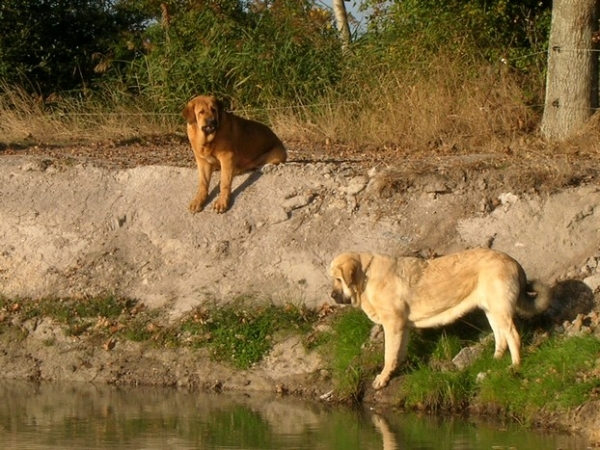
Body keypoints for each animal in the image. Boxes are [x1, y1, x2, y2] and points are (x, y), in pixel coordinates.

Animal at [330, 248, 552, 388]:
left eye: (338, 279)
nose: (332, 296)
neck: (365, 278)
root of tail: (514, 262)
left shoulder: (393, 325)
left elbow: (389, 355)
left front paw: (383, 378)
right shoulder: (403, 327)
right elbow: (399, 354)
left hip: (500, 310)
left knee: (513, 336)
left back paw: (514, 366)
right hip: (491, 310)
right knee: (501, 337)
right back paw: (495, 360)